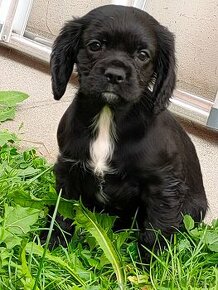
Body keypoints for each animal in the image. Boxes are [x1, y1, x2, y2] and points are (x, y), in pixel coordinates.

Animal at [49, 3, 208, 254]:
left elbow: (156, 233)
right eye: (95, 45)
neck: (109, 115)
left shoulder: (162, 186)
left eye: (142, 55)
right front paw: (52, 246)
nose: (115, 75)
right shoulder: (68, 168)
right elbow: (62, 213)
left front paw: (149, 265)